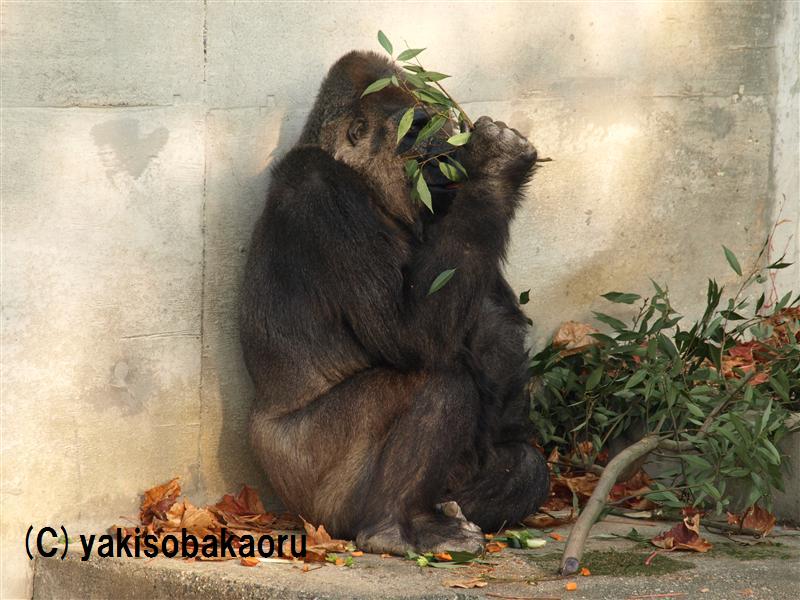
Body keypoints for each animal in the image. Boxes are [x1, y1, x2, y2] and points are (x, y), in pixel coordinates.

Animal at [239, 51, 552, 552]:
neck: (363, 181)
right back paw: (387, 526)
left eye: (441, 130)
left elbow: (492, 323)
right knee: (439, 381)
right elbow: (411, 335)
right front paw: (498, 163)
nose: (445, 160)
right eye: (415, 131)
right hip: (316, 496)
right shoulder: (322, 189)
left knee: (525, 466)